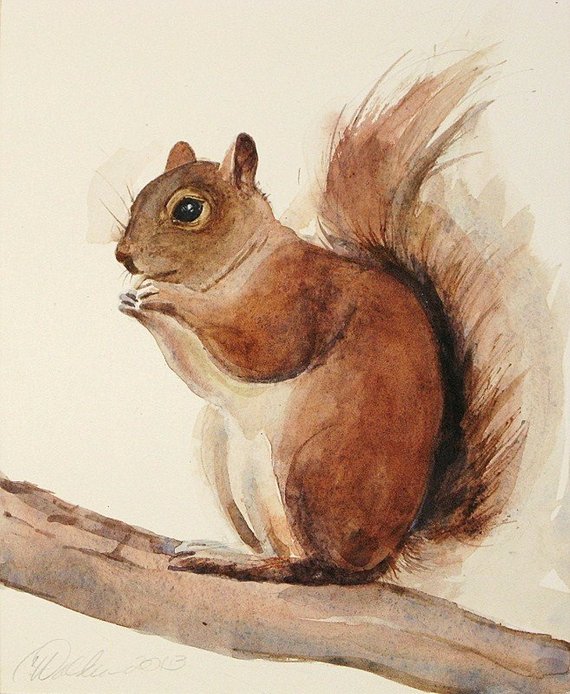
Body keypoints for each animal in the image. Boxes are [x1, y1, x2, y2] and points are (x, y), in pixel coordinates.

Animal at [115, 53, 525, 585]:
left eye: (188, 209)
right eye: (137, 196)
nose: (123, 255)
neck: (242, 264)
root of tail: (383, 555)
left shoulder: (298, 301)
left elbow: (259, 351)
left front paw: (164, 297)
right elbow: (200, 371)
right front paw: (135, 301)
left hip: (312, 470)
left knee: (313, 565)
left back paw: (242, 561)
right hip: (231, 468)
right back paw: (227, 550)